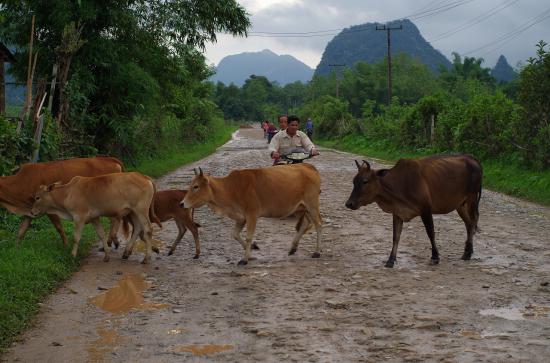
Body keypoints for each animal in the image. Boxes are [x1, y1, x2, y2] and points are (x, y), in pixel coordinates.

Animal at [30, 173, 160, 264]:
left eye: (37, 197)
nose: (31, 212)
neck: (68, 193)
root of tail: (144, 176)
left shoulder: (79, 218)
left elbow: (76, 238)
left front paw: (72, 255)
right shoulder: (94, 218)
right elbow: (101, 235)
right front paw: (106, 256)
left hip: (141, 210)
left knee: (148, 229)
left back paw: (146, 258)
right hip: (133, 212)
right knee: (137, 228)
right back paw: (126, 253)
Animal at [181, 164, 324, 264]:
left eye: (196, 186)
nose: (182, 204)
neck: (231, 188)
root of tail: (308, 166)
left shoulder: (252, 215)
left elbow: (249, 236)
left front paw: (245, 259)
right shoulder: (241, 218)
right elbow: (235, 235)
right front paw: (251, 253)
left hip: (311, 204)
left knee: (318, 224)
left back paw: (317, 252)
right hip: (300, 208)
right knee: (306, 223)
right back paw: (293, 248)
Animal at [348, 155, 486, 268]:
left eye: (365, 181)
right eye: (354, 181)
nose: (349, 204)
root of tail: (472, 158)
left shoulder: (426, 210)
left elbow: (430, 233)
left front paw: (435, 257)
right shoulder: (397, 212)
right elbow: (396, 236)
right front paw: (390, 260)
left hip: (472, 199)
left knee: (473, 220)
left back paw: (468, 253)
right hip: (460, 205)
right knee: (468, 224)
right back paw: (467, 252)